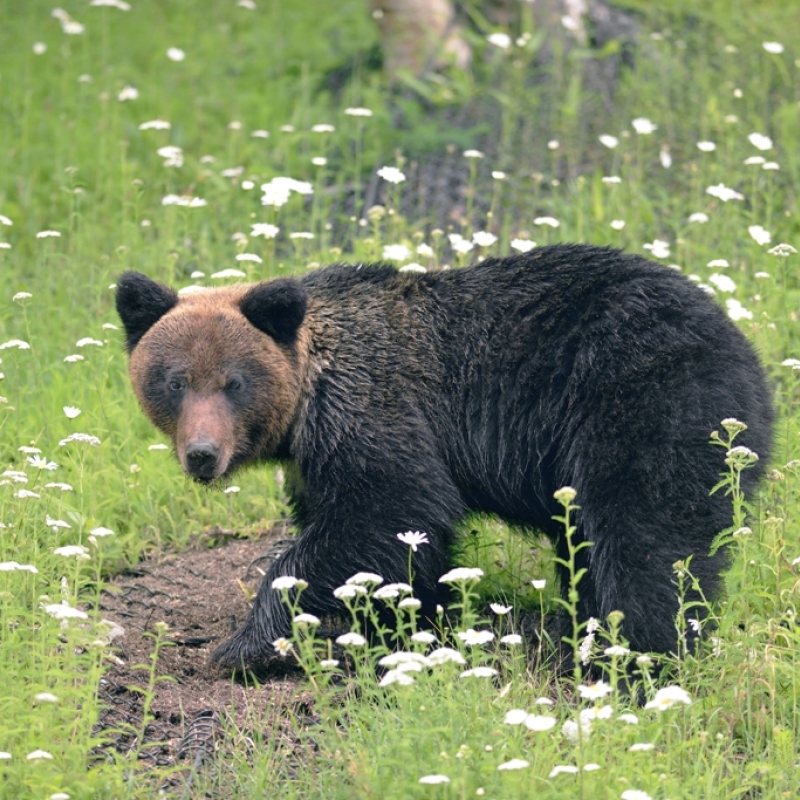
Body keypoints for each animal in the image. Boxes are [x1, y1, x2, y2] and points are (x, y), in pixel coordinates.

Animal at [115, 244, 772, 668]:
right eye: (175, 381)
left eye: (233, 382)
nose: (203, 454)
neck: (306, 401)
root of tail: (750, 357)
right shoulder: (313, 459)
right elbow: (401, 546)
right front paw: (405, 622)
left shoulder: (375, 408)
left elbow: (392, 508)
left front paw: (243, 645)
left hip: (644, 399)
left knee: (647, 539)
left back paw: (636, 658)